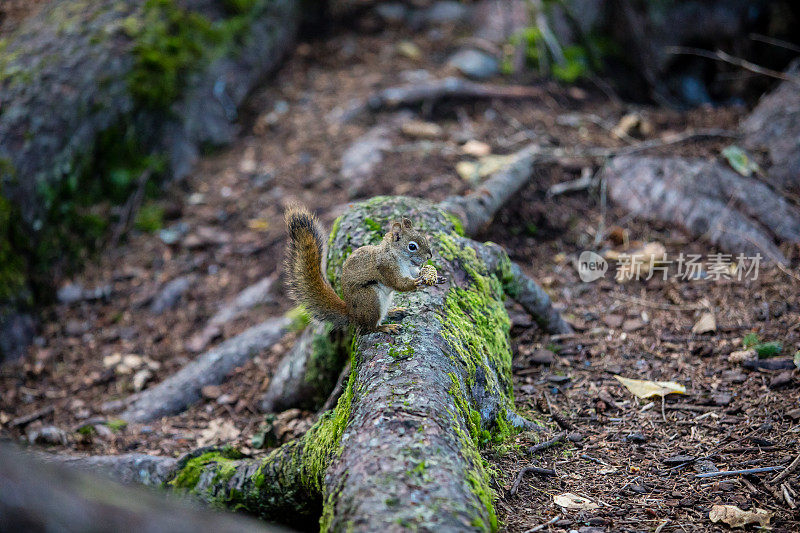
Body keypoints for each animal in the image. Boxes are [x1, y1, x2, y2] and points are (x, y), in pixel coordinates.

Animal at [282, 204, 444, 332]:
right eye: (412, 246)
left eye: (423, 237)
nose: (429, 255)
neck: (398, 257)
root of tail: (352, 315)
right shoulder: (386, 268)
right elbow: (399, 284)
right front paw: (416, 283)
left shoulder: (410, 269)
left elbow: (416, 272)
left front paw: (436, 278)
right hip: (370, 299)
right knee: (369, 327)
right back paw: (385, 327)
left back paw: (394, 312)